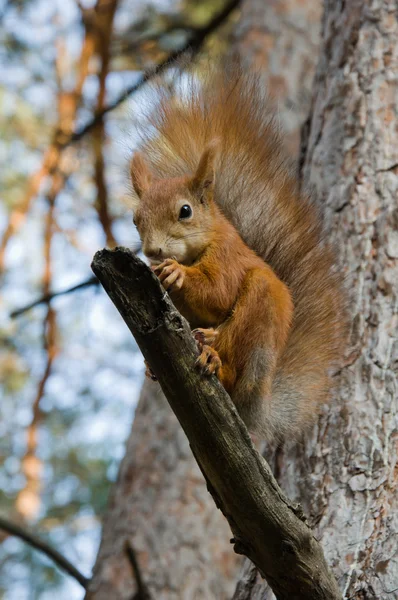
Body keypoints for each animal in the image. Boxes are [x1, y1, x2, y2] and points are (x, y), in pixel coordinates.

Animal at [128, 65, 346, 442]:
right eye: (135, 219)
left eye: (185, 211)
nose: (153, 250)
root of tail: (257, 405)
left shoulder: (229, 256)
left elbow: (218, 291)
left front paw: (176, 273)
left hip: (258, 316)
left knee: (231, 360)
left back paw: (214, 355)